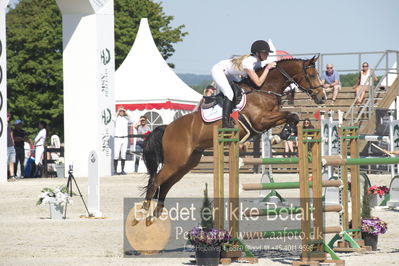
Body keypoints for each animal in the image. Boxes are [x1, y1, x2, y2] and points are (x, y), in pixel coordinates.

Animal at [136, 56, 326, 227]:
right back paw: (142, 213)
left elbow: (293, 116)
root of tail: (167, 127)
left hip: (186, 163)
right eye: (312, 74)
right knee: (156, 181)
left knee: (165, 185)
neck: (263, 89)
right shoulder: (261, 120)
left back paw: (155, 215)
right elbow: (291, 114)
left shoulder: (269, 119)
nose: (322, 97)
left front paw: (282, 134)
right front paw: (280, 135)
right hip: (175, 161)